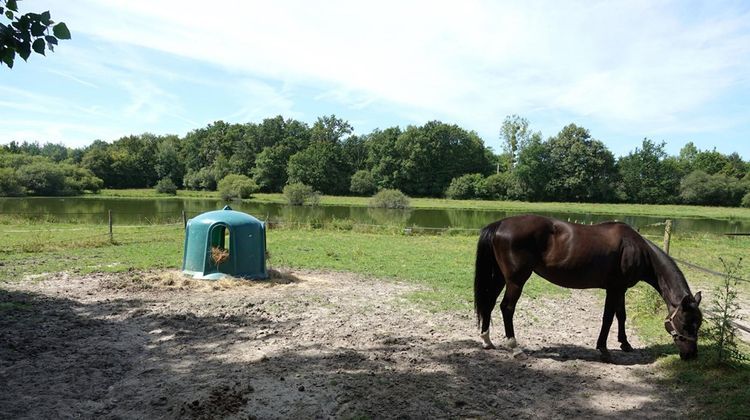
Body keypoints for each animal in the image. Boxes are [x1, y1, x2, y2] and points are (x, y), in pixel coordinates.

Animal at [476, 215, 704, 360]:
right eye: (686, 323)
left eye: (698, 323)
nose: (692, 355)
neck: (636, 248)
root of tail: (500, 224)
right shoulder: (614, 289)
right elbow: (609, 317)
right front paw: (604, 349)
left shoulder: (620, 289)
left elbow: (621, 316)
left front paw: (625, 344)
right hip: (516, 280)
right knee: (507, 308)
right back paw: (515, 349)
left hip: (500, 277)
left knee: (489, 302)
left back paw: (487, 341)